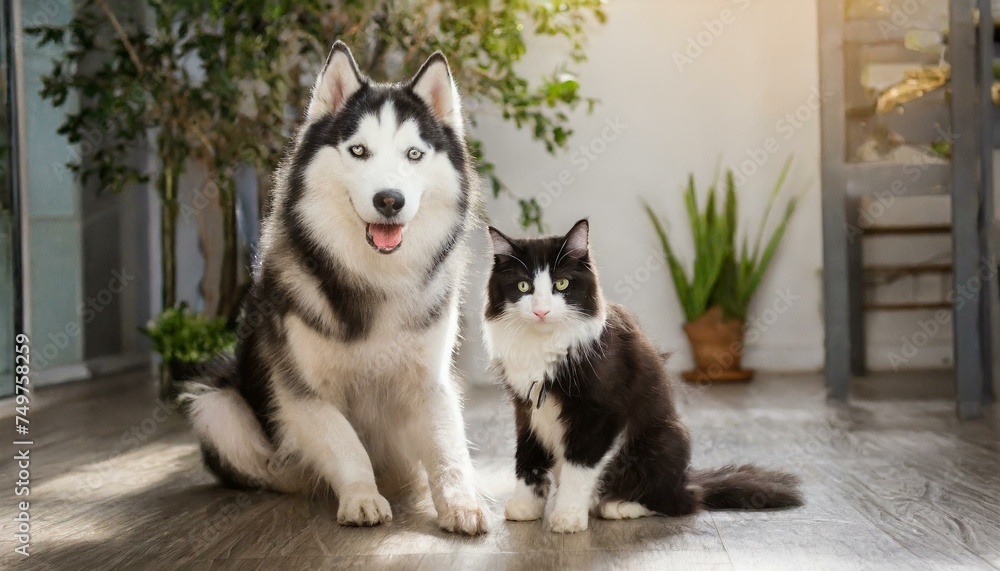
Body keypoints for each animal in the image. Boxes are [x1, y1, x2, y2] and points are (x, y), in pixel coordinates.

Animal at [184, 43, 492, 536]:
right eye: (358, 150)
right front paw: (361, 496)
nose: (389, 200)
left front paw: (462, 502)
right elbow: (345, 442)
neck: (374, 277)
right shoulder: (303, 392)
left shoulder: (430, 384)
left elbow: (449, 449)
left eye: (414, 154)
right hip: (215, 405)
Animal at [480, 221, 800, 536]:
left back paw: (618, 505)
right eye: (523, 286)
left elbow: (579, 465)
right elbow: (527, 456)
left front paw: (568, 517)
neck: (543, 344)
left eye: (562, 284)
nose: (541, 311)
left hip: (664, 439)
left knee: (681, 502)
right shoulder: (526, 408)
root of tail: (686, 479)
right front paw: (525, 507)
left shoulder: (600, 412)